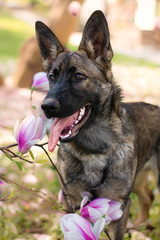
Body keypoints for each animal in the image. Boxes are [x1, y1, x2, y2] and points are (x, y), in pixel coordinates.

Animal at [35, 9, 160, 240]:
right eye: (51, 77)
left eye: (78, 76)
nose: (46, 106)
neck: (94, 147)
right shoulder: (73, 204)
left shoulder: (119, 205)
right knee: (147, 197)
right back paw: (139, 227)